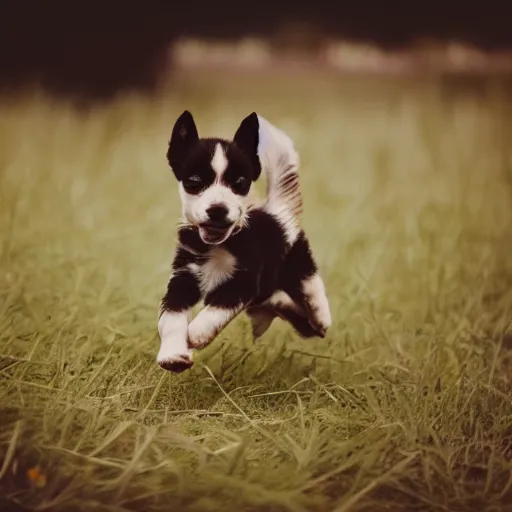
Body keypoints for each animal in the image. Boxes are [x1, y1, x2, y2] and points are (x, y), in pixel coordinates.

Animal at [157, 111, 332, 372]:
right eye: (195, 181)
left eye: (239, 182)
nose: (217, 209)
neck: (219, 245)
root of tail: (275, 211)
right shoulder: (183, 277)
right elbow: (171, 317)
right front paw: (173, 355)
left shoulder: (244, 281)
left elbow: (217, 308)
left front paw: (197, 333)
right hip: (268, 297)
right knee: (283, 303)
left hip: (297, 260)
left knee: (311, 284)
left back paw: (321, 316)